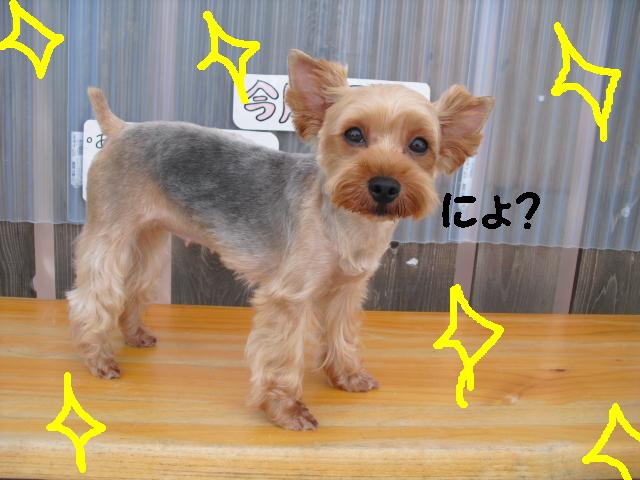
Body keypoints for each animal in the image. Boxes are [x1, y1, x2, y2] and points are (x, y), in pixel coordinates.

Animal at [67, 49, 494, 430]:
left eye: (420, 145)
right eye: (354, 134)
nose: (385, 185)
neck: (345, 219)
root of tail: (121, 128)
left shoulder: (346, 289)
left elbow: (342, 333)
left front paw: (348, 376)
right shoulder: (289, 297)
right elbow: (283, 355)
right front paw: (287, 410)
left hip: (149, 235)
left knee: (134, 283)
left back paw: (135, 334)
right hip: (111, 225)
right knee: (94, 291)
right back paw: (98, 358)